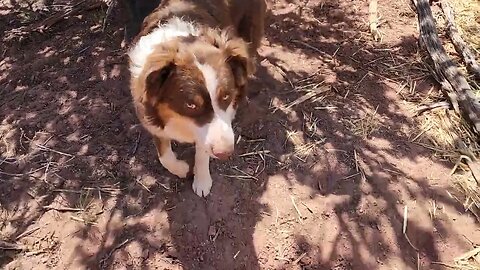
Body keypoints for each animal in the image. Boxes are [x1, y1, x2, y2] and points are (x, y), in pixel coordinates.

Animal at [125, 0, 266, 196]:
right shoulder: (151, 117)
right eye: (191, 105)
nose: (225, 153)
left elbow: (202, 151)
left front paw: (202, 180)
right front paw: (182, 169)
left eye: (226, 96)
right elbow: (164, 156)